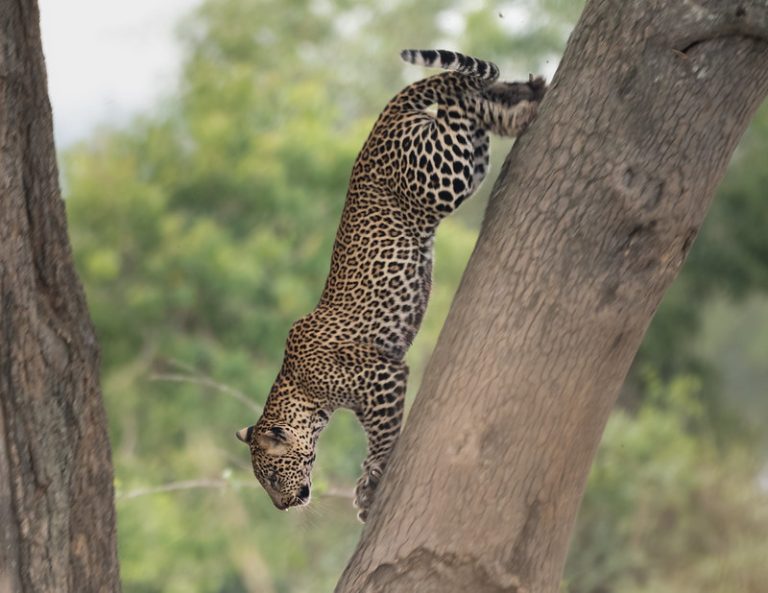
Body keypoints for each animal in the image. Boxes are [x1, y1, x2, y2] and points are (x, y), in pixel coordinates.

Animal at [236, 49, 546, 522]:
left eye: (270, 477)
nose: (283, 506)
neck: (300, 390)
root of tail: (379, 123)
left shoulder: (383, 376)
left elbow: (380, 438)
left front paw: (372, 484)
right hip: (462, 160)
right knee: (468, 100)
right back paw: (524, 92)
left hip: (440, 174)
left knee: (460, 102)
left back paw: (524, 105)